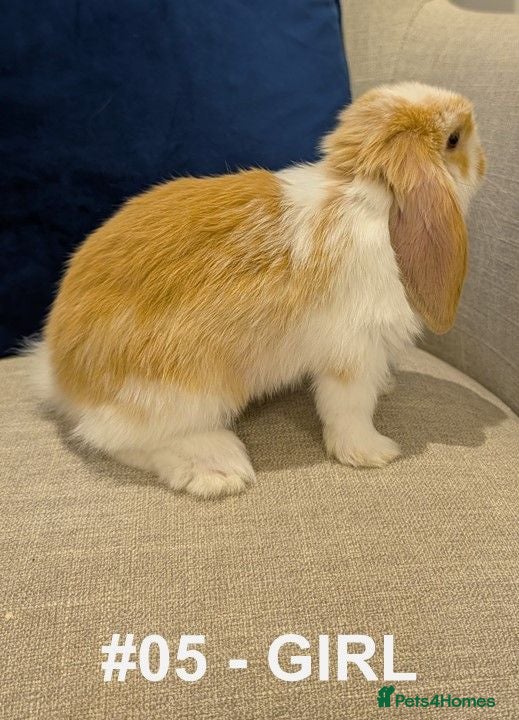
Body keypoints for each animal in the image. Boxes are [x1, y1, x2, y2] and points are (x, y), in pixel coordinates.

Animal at [34, 81, 485, 498]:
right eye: (454, 139)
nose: (483, 162)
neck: (370, 198)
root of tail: (62, 375)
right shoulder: (353, 351)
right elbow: (349, 409)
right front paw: (373, 453)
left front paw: (386, 389)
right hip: (183, 390)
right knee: (113, 438)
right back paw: (217, 469)